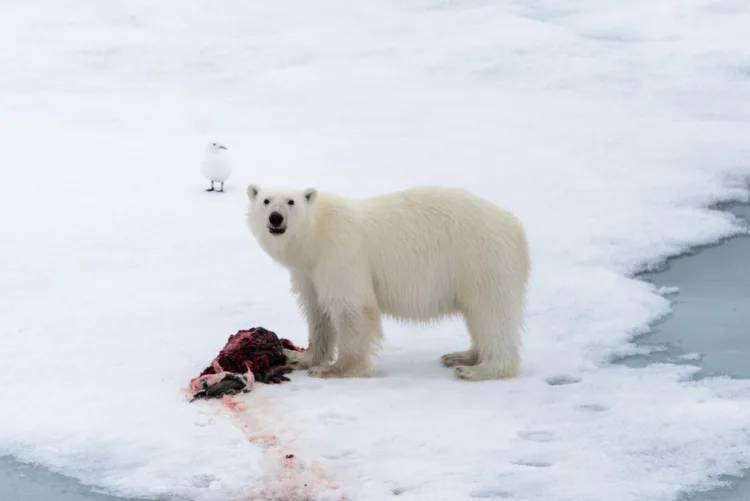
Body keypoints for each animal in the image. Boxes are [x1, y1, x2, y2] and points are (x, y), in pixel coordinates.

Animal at [244, 182, 532, 380]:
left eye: (291, 201)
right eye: (266, 200)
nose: (276, 218)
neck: (315, 236)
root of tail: (515, 226)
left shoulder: (340, 252)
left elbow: (353, 309)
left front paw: (334, 369)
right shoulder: (309, 272)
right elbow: (318, 313)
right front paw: (301, 357)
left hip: (481, 260)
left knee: (491, 314)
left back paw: (479, 369)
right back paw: (462, 355)